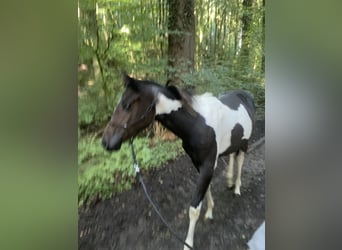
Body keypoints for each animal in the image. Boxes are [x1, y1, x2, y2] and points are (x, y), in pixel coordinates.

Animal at [103, 73, 255, 249]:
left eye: (128, 105)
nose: (105, 141)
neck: (197, 124)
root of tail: (245, 94)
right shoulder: (199, 164)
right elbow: (206, 190)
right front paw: (210, 211)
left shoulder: (208, 165)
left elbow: (194, 208)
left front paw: (188, 243)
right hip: (234, 143)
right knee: (232, 156)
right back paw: (230, 181)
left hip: (245, 143)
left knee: (241, 161)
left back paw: (237, 188)